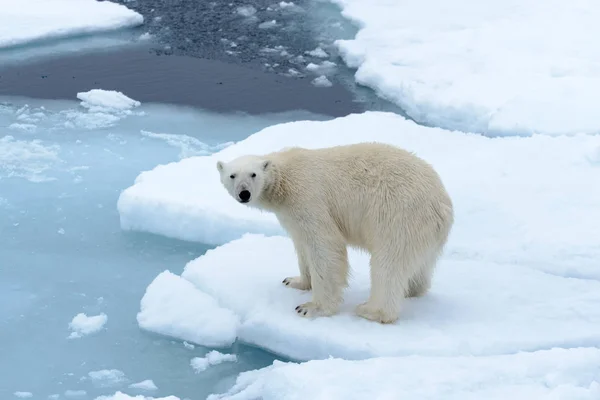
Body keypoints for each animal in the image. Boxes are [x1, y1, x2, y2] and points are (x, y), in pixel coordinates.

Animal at [217, 142, 454, 324]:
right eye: (232, 175)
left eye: (253, 174)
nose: (244, 193)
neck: (284, 180)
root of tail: (442, 203)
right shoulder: (290, 215)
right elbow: (302, 245)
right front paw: (295, 281)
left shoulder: (307, 198)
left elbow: (325, 246)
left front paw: (310, 307)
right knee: (419, 264)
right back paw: (412, 290)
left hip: (399, 216)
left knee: (388, 265)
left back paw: (371, 310)